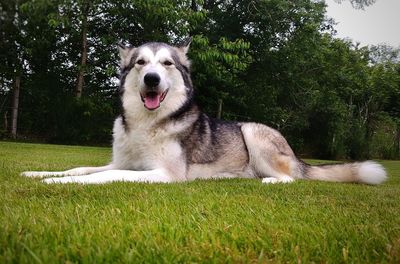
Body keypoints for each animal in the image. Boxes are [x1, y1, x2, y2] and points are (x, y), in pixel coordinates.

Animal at [21, 40, 388, 185]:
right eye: (141, 63)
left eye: (166, 64)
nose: (152, 78)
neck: (147, 125)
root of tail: (297, 155)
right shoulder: (121, 162)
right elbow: (81, 167)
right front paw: (41, 174)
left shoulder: (164, 173)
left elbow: (102, 177)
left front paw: (58, 183)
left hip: (252, 131)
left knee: (291, 178)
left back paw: (270, 180)